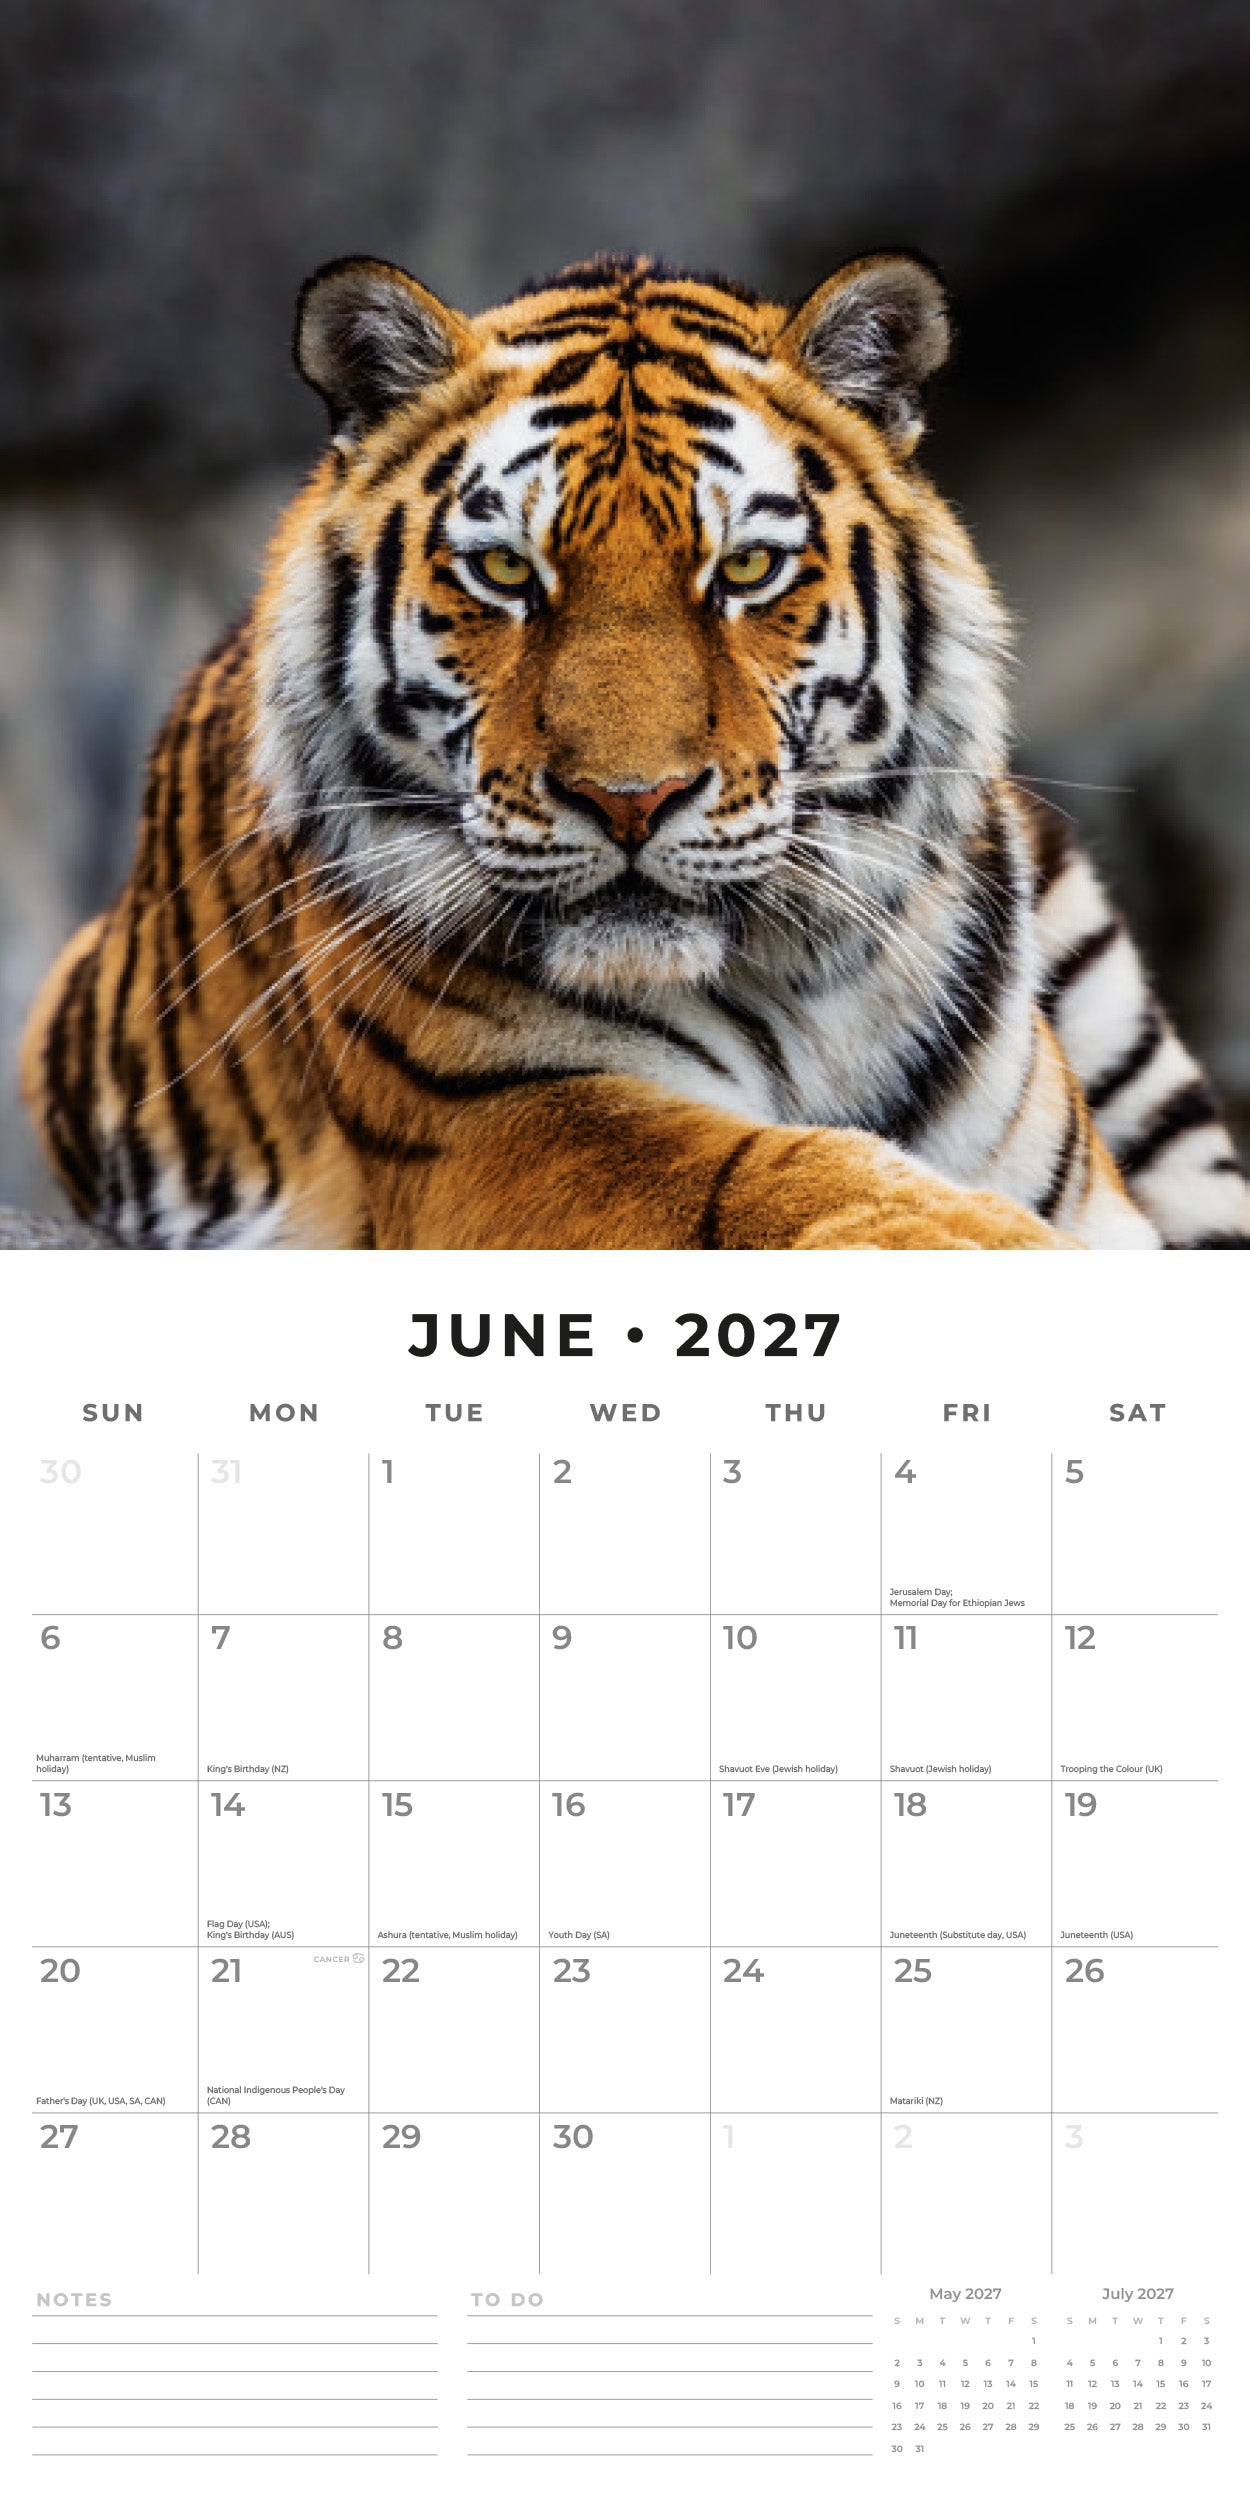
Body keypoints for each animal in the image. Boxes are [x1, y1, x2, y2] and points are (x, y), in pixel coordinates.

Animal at [21, 249, 1250, 1251]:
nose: (628, 800)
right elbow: (781, 1174)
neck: (801, 991)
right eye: (505, 573)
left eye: (745, 570)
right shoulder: (509, 1126)